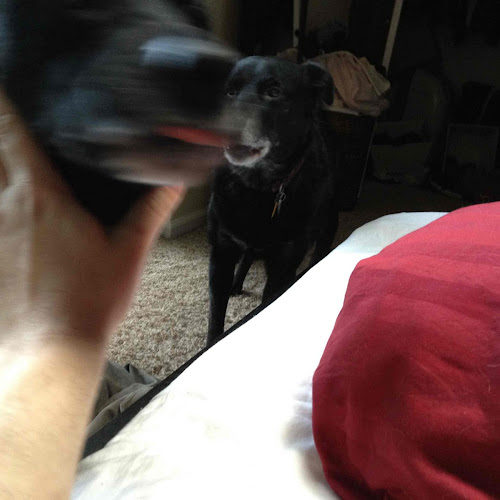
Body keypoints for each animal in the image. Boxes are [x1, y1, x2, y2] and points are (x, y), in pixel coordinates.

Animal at [207, 56, 339, 344]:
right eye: (229, 92)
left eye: (274, 92)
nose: (222, 129)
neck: (258, 188)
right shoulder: (221, 252)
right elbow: (215, 317)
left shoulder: (283, 264)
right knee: (247, 256)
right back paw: (237, 284)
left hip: (328, 226)